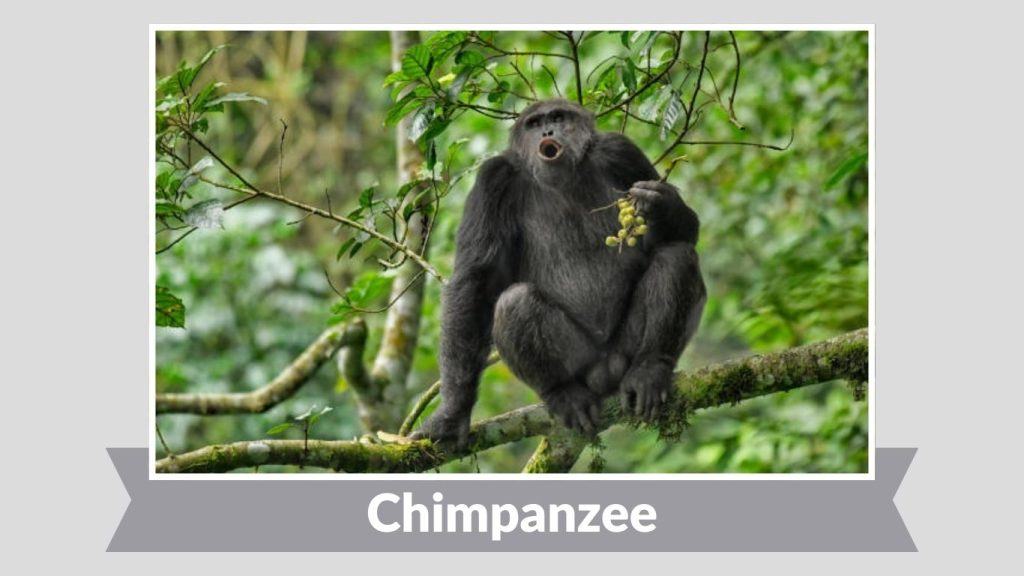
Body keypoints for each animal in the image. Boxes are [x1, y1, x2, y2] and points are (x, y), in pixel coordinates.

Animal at [413, 99, 706, 449]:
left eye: (557, 117)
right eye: (534, 123)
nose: (548, 131)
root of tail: (605, 371)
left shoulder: (622, 151)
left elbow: (685, 234)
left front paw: (661, 203)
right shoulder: (492, 182)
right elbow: (475, 281)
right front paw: (453, 413)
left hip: (626, 349)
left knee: (677, 257)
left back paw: (650, 369)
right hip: (581, 361)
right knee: (514, 301)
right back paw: (563, 393)